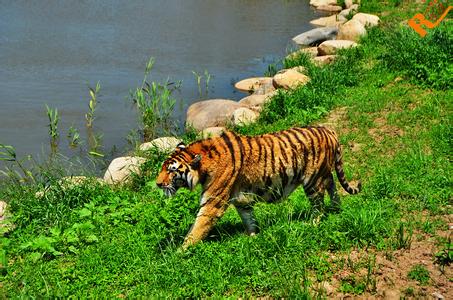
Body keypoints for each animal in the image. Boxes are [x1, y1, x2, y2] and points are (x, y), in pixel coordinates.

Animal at [155, 126, 360, 248]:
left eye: (172, 170)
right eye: (163, 167)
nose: (157, 183)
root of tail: (328, 129)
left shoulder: (212, 203)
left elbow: (197, 227)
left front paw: (180, 253)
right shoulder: (242, 200)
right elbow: (248, 218)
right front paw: (252, 236)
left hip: (313, 180)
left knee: (319, 204)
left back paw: (313, 223)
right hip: (324, 173)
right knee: (332, 184)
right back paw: (337, 208)